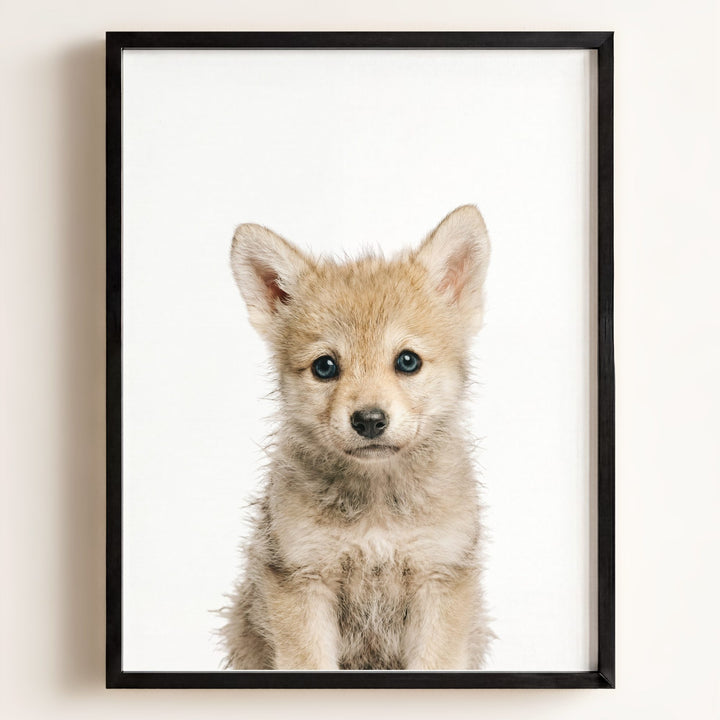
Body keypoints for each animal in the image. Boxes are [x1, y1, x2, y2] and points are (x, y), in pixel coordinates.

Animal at [221, 205, 493, 670]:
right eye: (325, 367)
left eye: (407, 361)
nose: (368, 420)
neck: (377, 508)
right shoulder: (303, 579)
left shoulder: (439, 578)